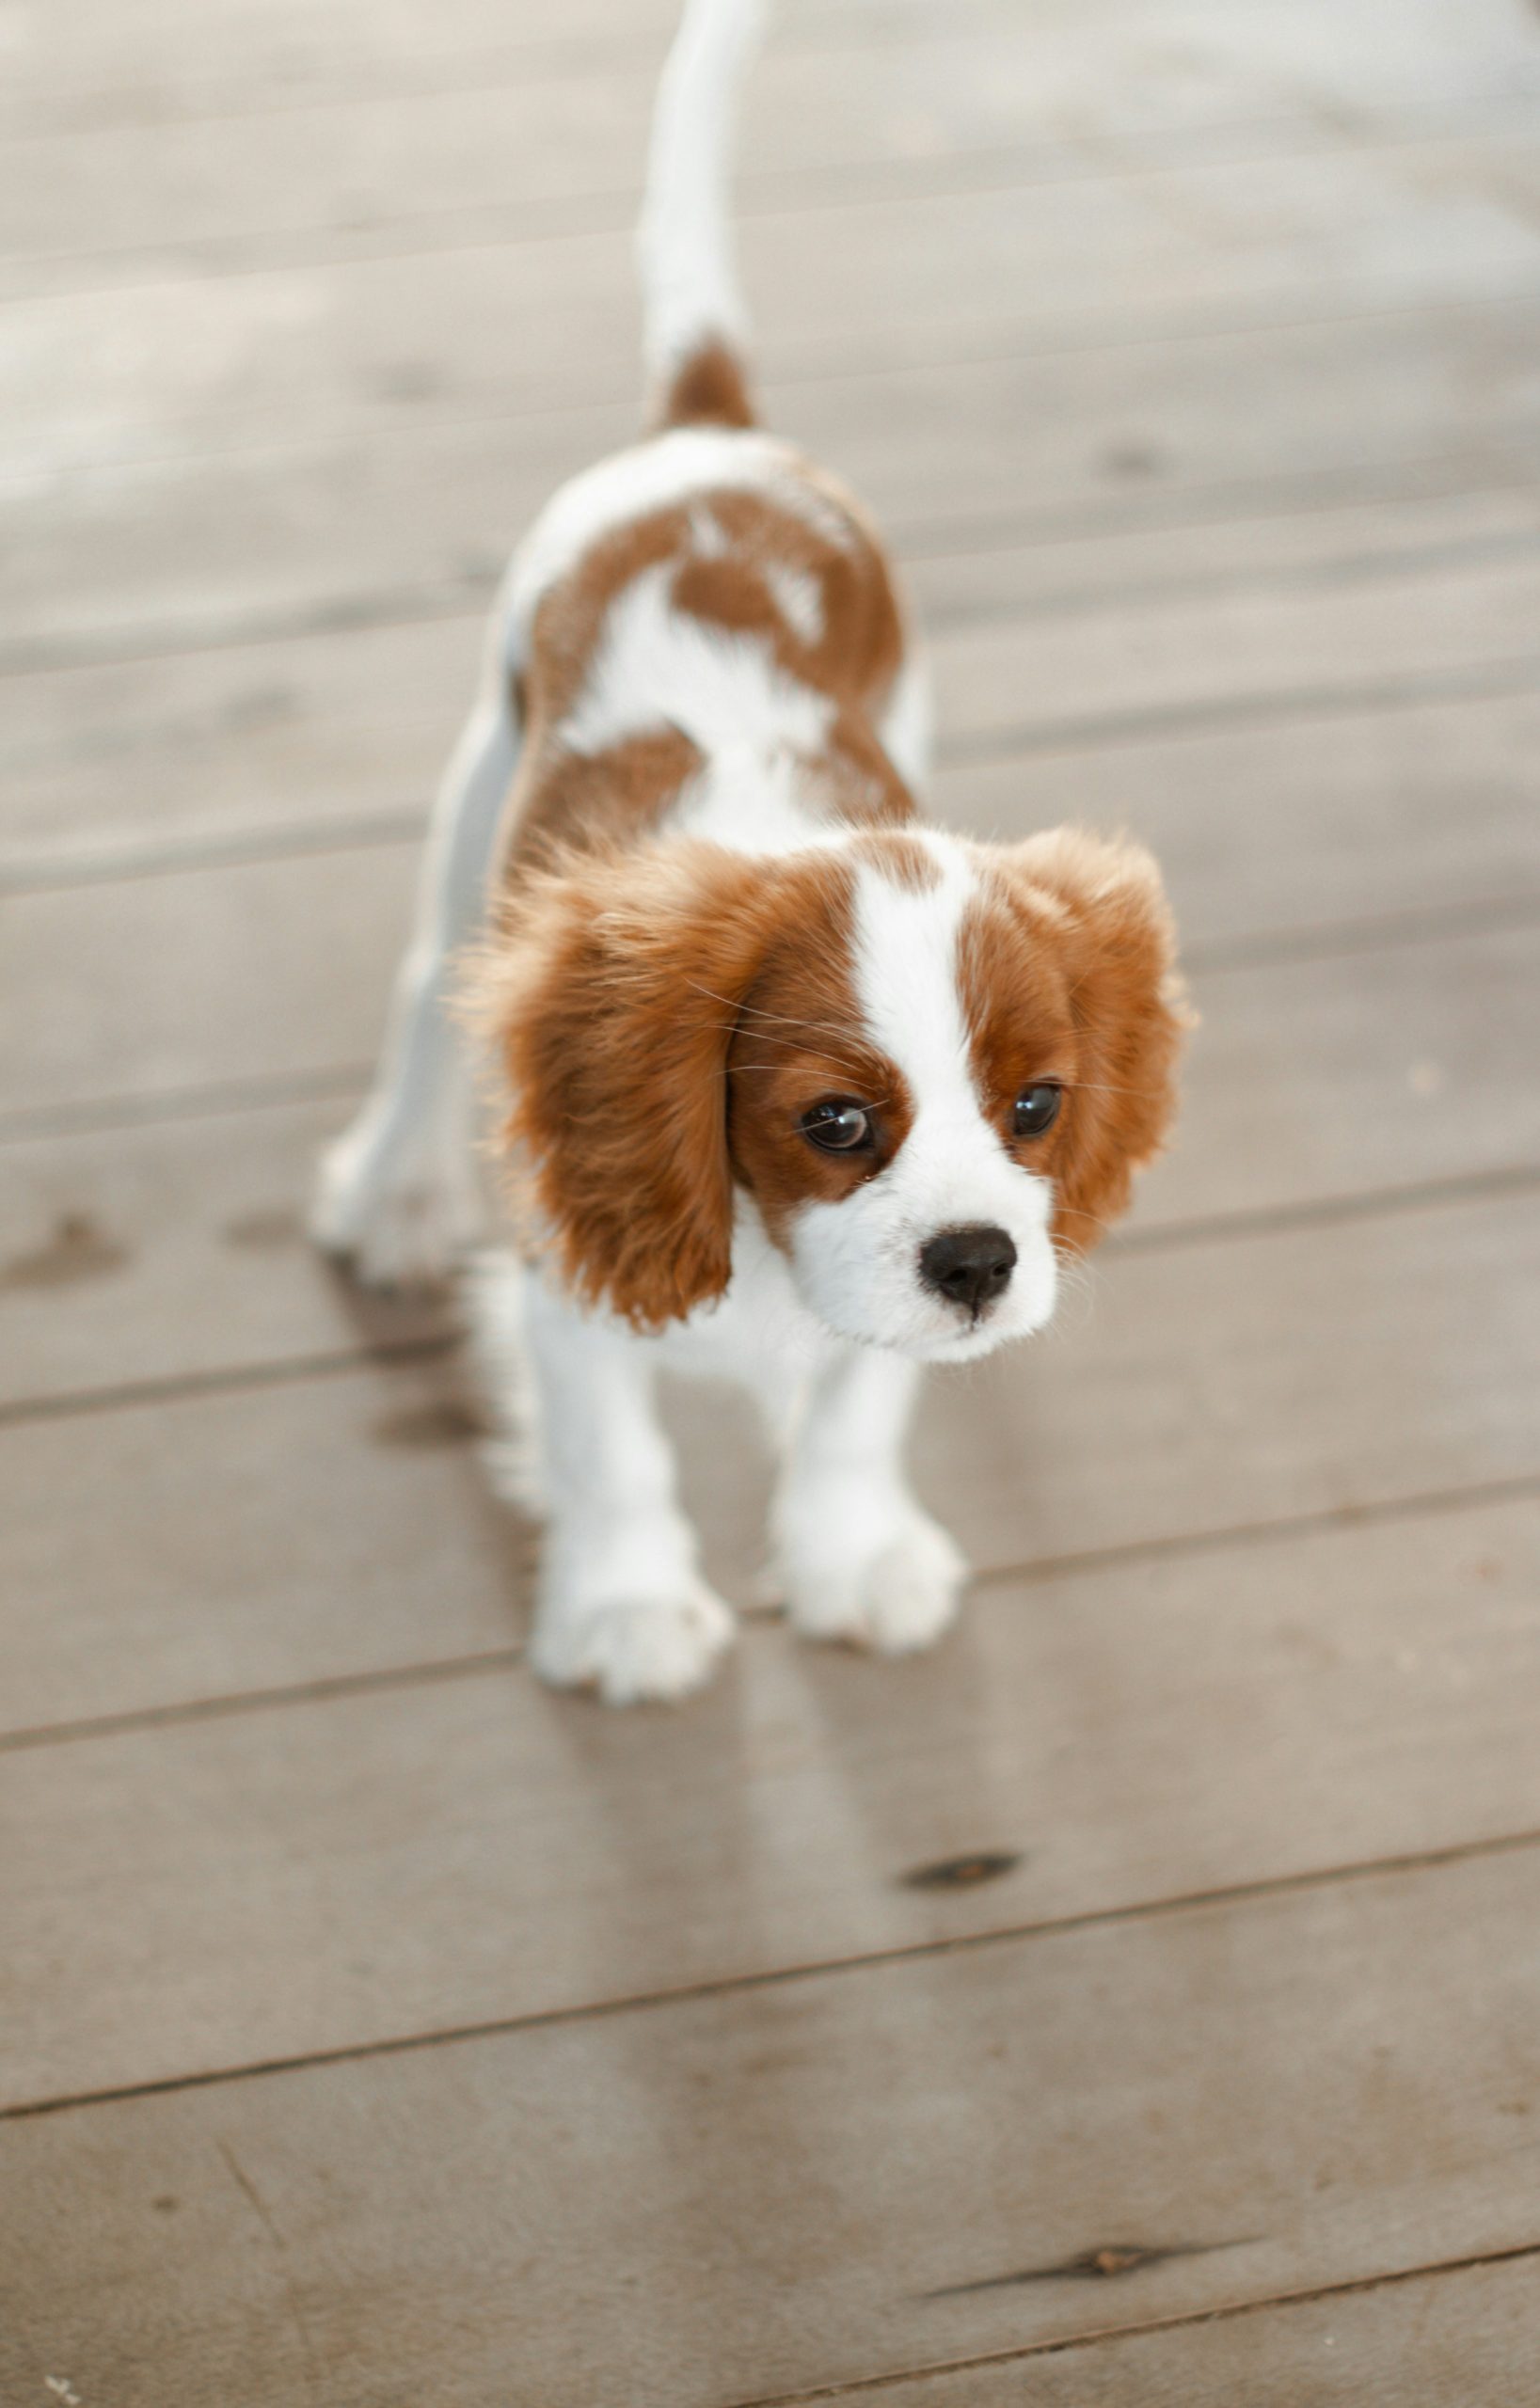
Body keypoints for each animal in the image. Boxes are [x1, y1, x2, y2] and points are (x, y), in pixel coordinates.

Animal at [307, 0, 1185, 1704]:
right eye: (833, 1122)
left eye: (1036, 1108)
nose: (978, 1263)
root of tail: (712, 433)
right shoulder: (573, 1254)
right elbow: (611, 1449)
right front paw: (629, 1610)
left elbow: (858, 1412)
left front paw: (852, 1556)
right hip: (480, 796)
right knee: (419, 993)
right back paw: (387, 1195)